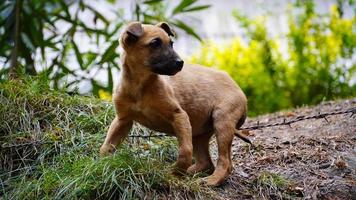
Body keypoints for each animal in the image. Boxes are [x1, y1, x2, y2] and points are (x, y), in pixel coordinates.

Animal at [98, 21, 246, 186]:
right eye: (154, 43)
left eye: (171, 44)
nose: (180, 63)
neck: (140, 85)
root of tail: (235, 84)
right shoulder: (122, 120)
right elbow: (107, 145)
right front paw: (100, 165)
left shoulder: (179, 116)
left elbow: (185, 150)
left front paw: (176, 172)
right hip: (199, 133)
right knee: (206, 162)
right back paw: (193, 173)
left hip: (222, 121)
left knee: (225, 162)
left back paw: (211, 180)